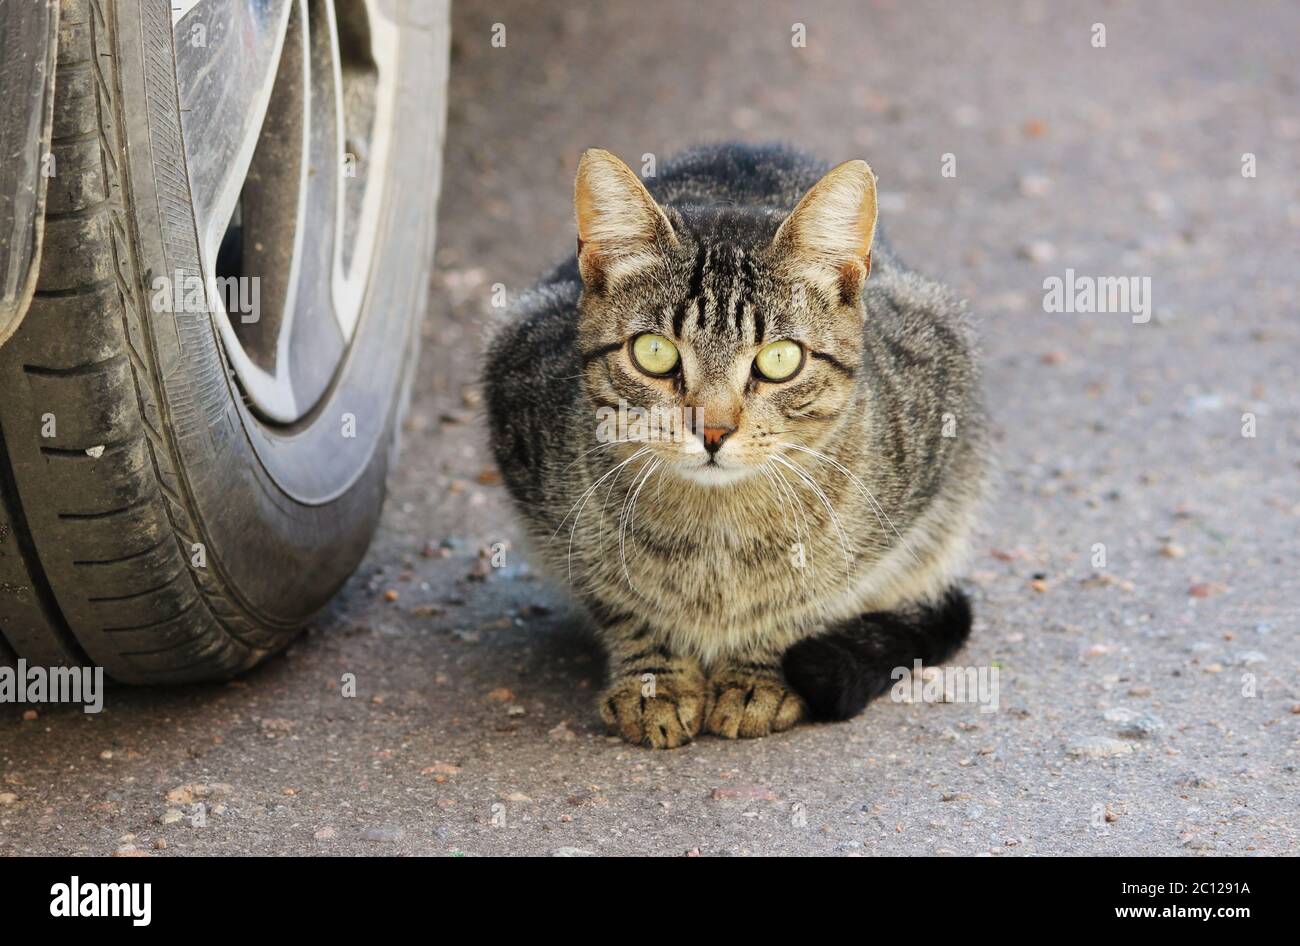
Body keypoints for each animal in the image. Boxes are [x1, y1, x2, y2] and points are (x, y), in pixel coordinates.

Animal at [486, 142, 982, 748]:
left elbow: (808, 597)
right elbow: (621, 603)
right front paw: (655, 682)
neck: (717, 528)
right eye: (654, 352)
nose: (714, 431)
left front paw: (754, 675)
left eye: (780, 359)